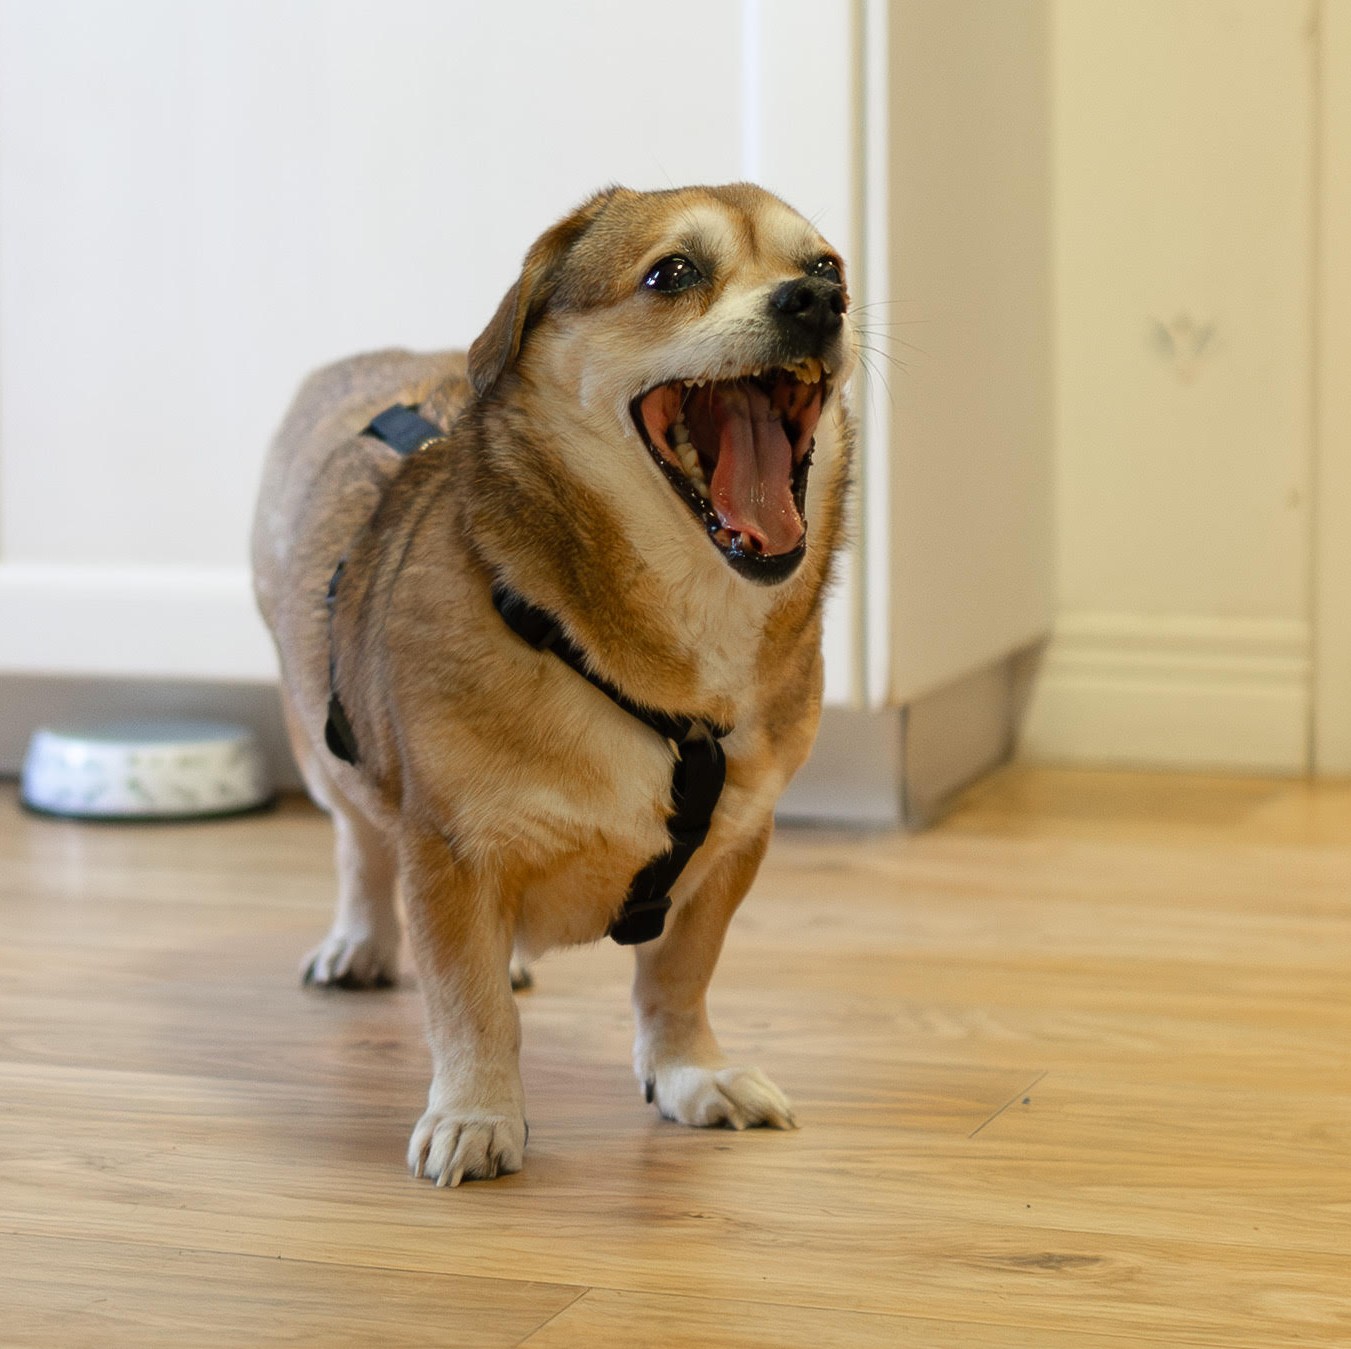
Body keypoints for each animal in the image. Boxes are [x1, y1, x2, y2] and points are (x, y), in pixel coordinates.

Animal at [251, 183, 856, 1185]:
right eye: (671, 272)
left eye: (827, 267)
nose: (817, 304)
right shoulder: (448, 848)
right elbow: (467, 1001)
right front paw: (477, 1111)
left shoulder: (734, 847)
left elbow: (677, 975)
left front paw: (690, 1073)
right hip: (315, 739)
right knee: (358, 841)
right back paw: (363, 939)